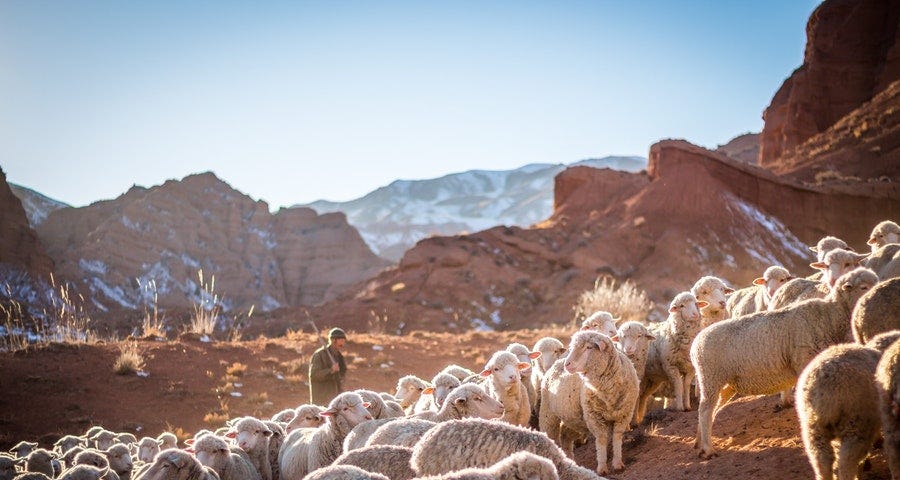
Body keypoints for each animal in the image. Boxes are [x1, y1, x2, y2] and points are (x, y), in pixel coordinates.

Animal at [632, 290, 712, 422]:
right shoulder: (671, 366)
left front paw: (687, 406)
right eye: (682, 306)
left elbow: (686, 386)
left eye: (696, 303)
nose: (695, 314)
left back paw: (640, 418)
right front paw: (679, 407)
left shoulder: (690, 368)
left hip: (652, 379)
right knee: (638, 396)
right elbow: (678, 386)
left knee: (643, 397)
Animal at [688, 266, 880, 458]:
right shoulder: (803, 360)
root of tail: (696, 341)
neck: (830, 316)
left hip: (726, 384)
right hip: (711, 377)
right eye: (863, 287)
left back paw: (699, 442)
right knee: (705, 410)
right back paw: (708, 449)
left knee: (711, 409)